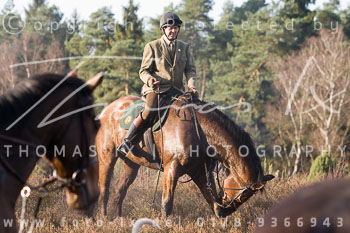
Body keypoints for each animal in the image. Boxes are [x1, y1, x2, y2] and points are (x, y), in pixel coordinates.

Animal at [95, 93, 274, 218]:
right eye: (242, 195)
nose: (229, 209)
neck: (201, 132)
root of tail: (108, 108)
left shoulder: (200, 173)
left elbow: (214, 205)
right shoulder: (171, 169)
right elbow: (166, 204)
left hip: (131, 164)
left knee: (119, 192)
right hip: (107, 158)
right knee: (104, 190)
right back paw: (104, 220)